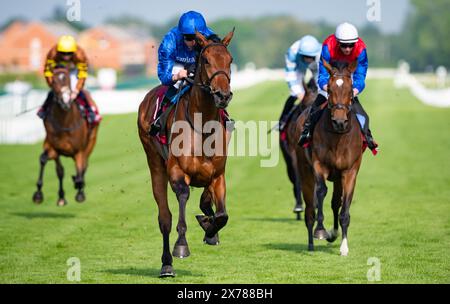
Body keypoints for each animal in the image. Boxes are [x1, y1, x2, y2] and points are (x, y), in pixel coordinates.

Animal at [33, 67, 100, 207]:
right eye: (54, 82)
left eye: (68, 80)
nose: (65, 100)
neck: (65, 122)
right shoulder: (53, 148)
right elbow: (46, 161)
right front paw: (38, 194)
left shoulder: (79, 150)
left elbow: (80, 171)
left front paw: (79, 192)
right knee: (61, 170)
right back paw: (62, 197)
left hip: (91, 142)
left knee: (84, 166)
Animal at [137, 29, 236, 276]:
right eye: (206, 60)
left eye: (230, 60)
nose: (223, 95)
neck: (203, 126)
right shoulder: (177, 171)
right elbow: (183, 198)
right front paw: (181, 245)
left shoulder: (218, 175)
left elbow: (221, 214)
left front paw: (209, 228)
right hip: (154, 162)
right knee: (164, 218)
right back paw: (166, 264)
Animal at [294, 59, 364, 254]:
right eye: (330, 90)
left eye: (350, 89)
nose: (340, 122)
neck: (338, 137)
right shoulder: (319, 165)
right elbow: (321, 191)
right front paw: (320, 230)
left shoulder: (349, 171)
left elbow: (343, 206)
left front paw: (344, 246)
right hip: (305, 171)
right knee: (310, 208)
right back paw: (311, 242)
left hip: (338, 177)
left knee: (334, 202)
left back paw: (334, 233)